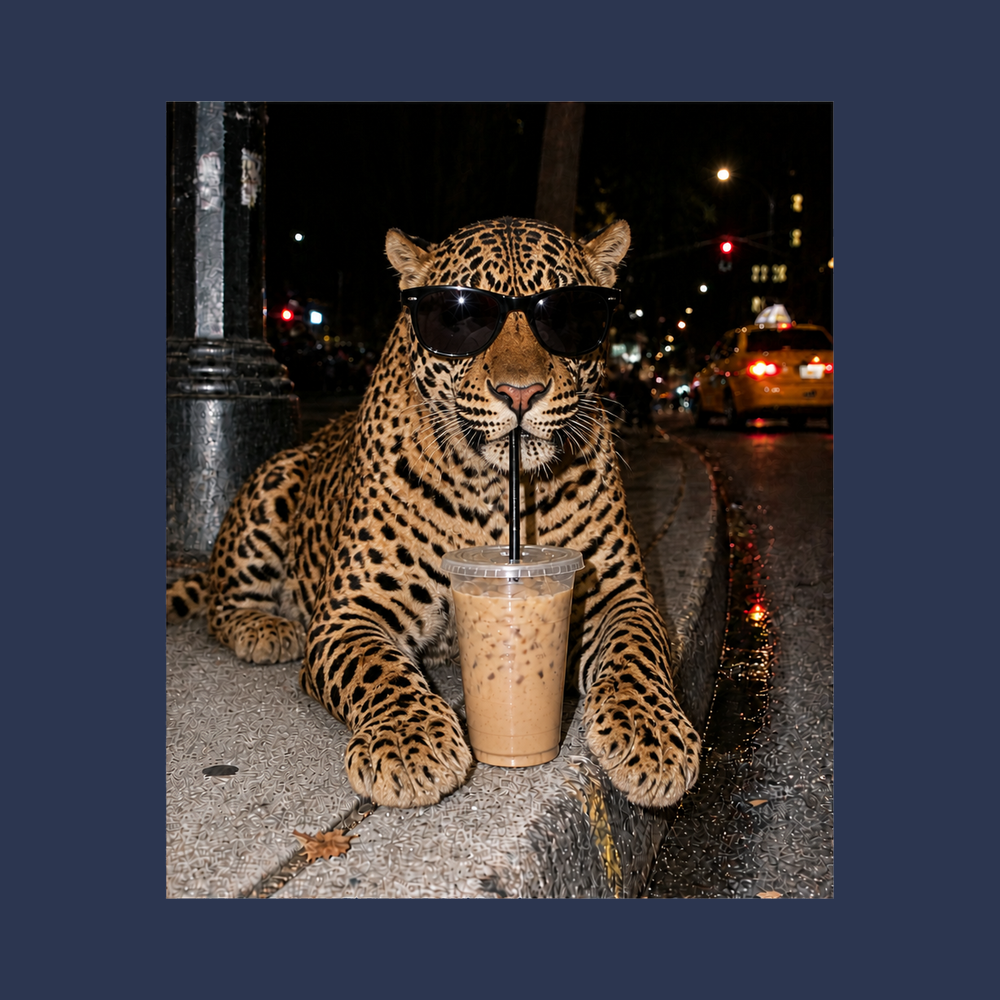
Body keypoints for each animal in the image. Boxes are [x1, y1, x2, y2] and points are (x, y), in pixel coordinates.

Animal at [167, 216, 701, 810]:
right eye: (459, 318)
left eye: (568, 316)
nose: (521, 393)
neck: (495, 488)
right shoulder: (349, 612)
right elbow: (376, 669)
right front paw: (409, 742)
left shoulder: (619, 592)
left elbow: (637, 652)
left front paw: (651, 736)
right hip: (272, 481)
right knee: (221, 607)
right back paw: (264, 628)